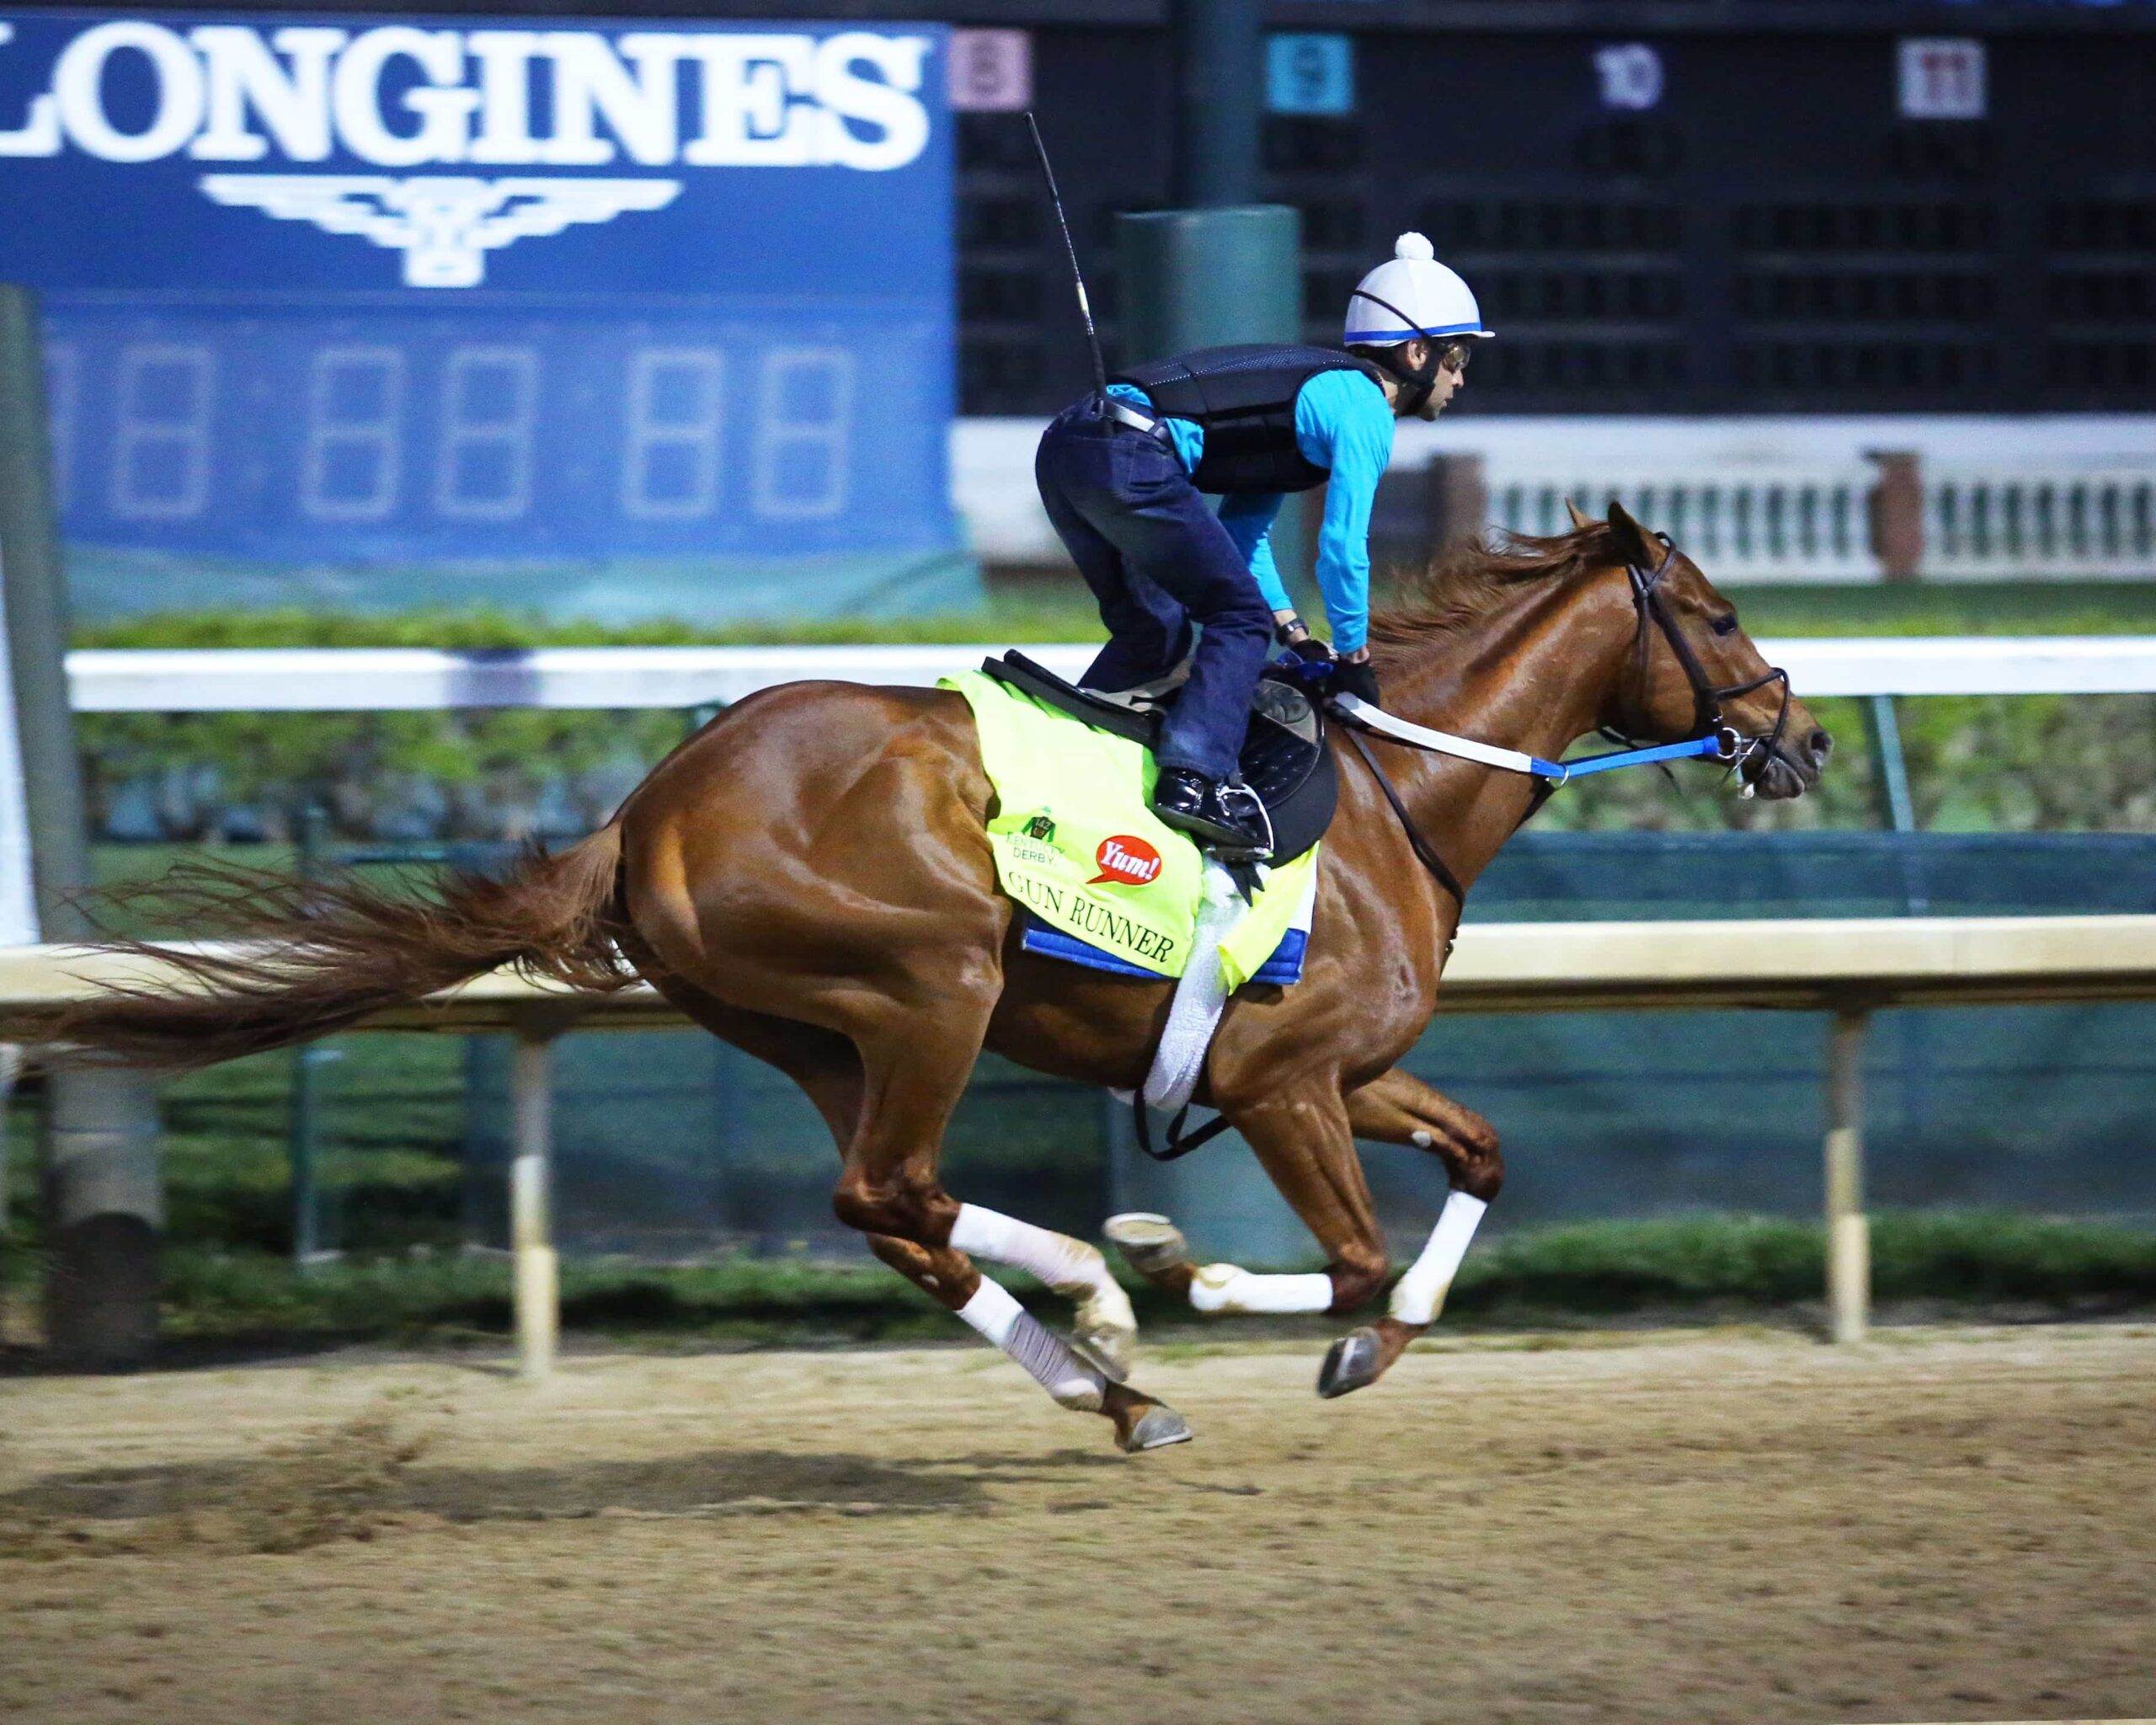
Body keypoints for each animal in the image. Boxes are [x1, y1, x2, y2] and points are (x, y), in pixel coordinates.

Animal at [25, 505, 1828, 1449]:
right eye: (1724, 611)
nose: (1802, 736)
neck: (1395, 796)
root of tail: (643, 808)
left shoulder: (1357, 1069)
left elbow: (1481, 1158)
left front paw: (1366, 1337)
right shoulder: (1276, 1080)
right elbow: (1355, 1253)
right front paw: (1196, 1269)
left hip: (815, 1026)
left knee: (896, 1206)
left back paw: (1101, 1357)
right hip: (934, 978)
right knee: (894, 1188)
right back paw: (1112, 1312)